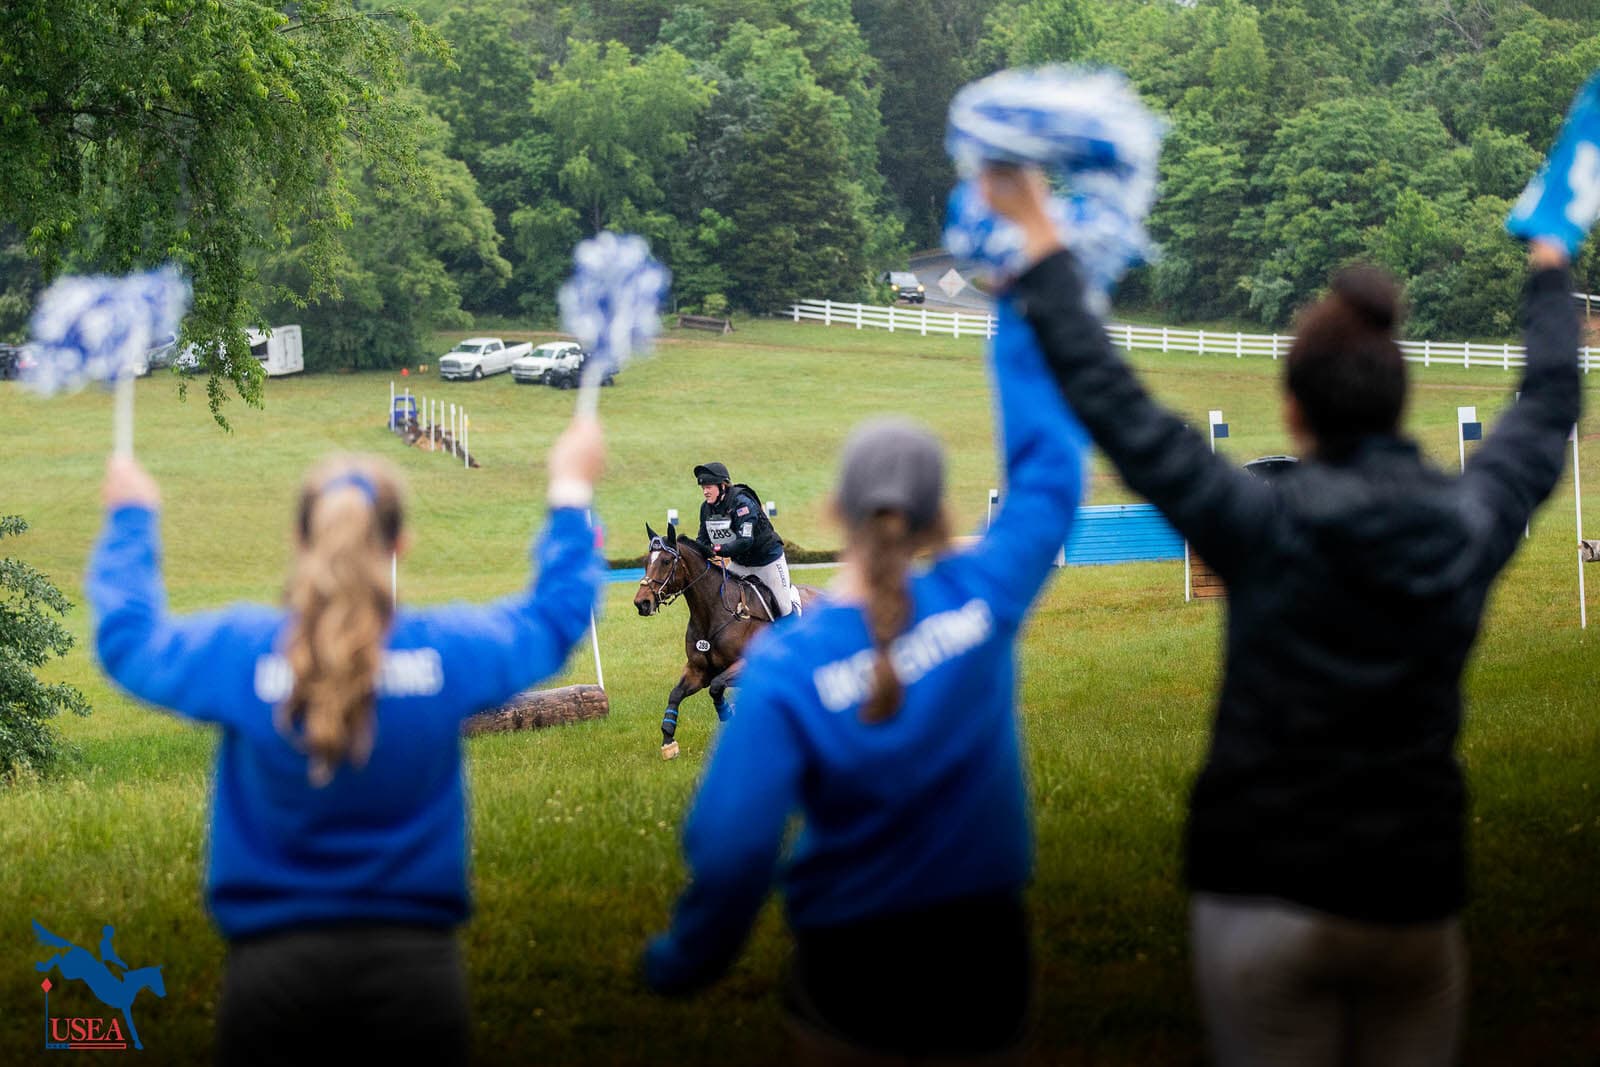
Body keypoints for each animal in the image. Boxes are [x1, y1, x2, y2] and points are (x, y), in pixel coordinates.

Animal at [34, 921, 165, 1050]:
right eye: (157, 979)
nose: (164, 994)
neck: (128, 987)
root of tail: (75, 946)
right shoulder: (125, 1007)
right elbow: (131, 1026)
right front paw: (138, 1043)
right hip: (69, 972)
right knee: (58, 957)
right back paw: (42, 966)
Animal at [634, 523, 817, 759]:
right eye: (646, 562)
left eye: (666, 561)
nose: (642, 603)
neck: (713, 613)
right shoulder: (698, 670)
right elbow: (676, 694)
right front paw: (668, 742)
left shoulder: (744, 665)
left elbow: (716, 686)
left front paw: (727, 714)